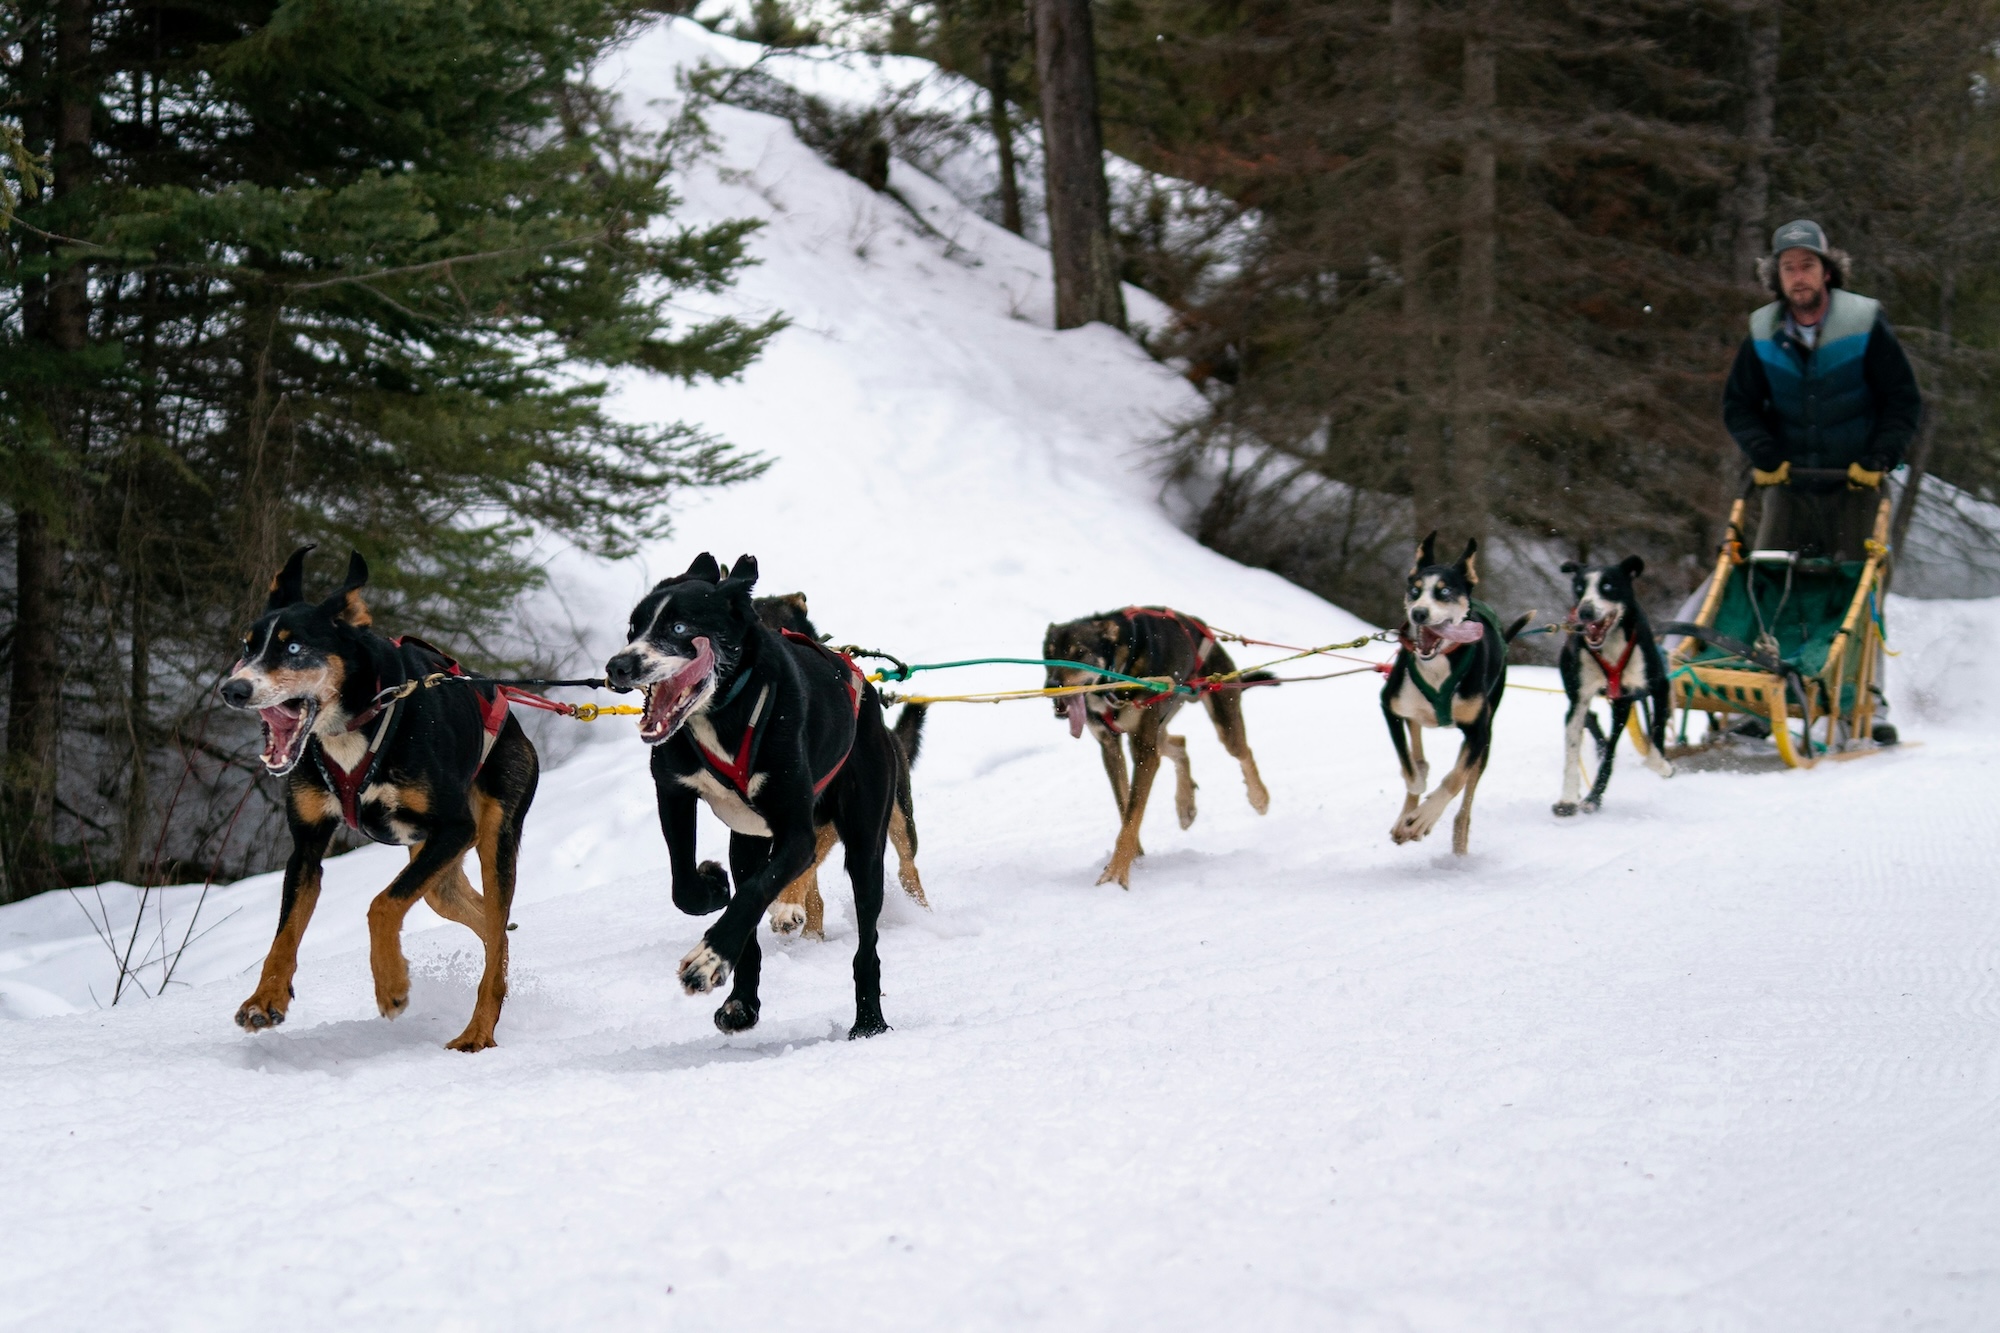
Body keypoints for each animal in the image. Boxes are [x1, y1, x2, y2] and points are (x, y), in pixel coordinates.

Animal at [217, 544, 540, 1040]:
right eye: (248, 646)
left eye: (294, 647)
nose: (232, 689)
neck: (353, 727)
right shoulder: (307, 847)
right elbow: (285, 933)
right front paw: (265, 997)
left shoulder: (454, 828)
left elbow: (381, 905)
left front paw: (391, 983)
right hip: (437, 875)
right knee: (490, 924)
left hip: (491, 836)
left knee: (493, 921)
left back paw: (477, 1032)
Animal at [600, 548, 900, 1040]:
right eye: (632, 629)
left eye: (679, 628)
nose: (618, 666)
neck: (723, 714)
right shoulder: (674, 792)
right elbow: (688, 888)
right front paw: (712, 888)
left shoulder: (797, 835)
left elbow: (756, 892)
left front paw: (708, 958)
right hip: (748, 841)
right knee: (750, 904)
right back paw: (742, 1001)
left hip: (864, 844)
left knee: (866, 943)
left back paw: (869, 1021)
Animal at [1384, 528, 1520, 852]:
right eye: (1415, 591)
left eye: (1444, 592)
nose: (1419, 614)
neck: (1437, 665)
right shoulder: (1390, 708)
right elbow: (1410, 770)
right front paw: (1413, 808)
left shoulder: (1478, 732)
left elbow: (1455, 779)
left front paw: (1424, 818)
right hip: (1413, 712)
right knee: (1418, 751)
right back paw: (1406, 815)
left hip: (1485, 742)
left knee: (1466, 799)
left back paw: (1457, 840)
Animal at [1552, 548, 1680, 808]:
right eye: (1579, 588)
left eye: (1608, 586)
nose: (1585, 611)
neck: (1611, 645)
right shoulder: (1579, 700)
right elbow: (1572, 750)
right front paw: (1568, 797)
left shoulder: (1658, 687)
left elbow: (1657, 735)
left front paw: (1662, 765)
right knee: (1600, 735)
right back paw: (1592, 793)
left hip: (1623, 704)